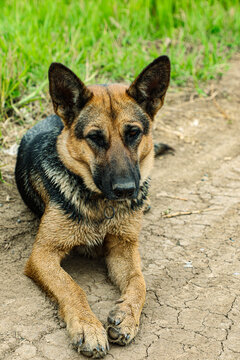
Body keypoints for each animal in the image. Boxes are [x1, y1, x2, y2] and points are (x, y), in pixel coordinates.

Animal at [15, 56, 171, 358]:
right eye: (96, 137)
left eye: (133, 133)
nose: (126, 190)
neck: (102, 205)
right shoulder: (42, 255)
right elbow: (71, 287)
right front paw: (88, 326)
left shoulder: (123, 247)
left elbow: (139, 281)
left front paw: (127, 316)